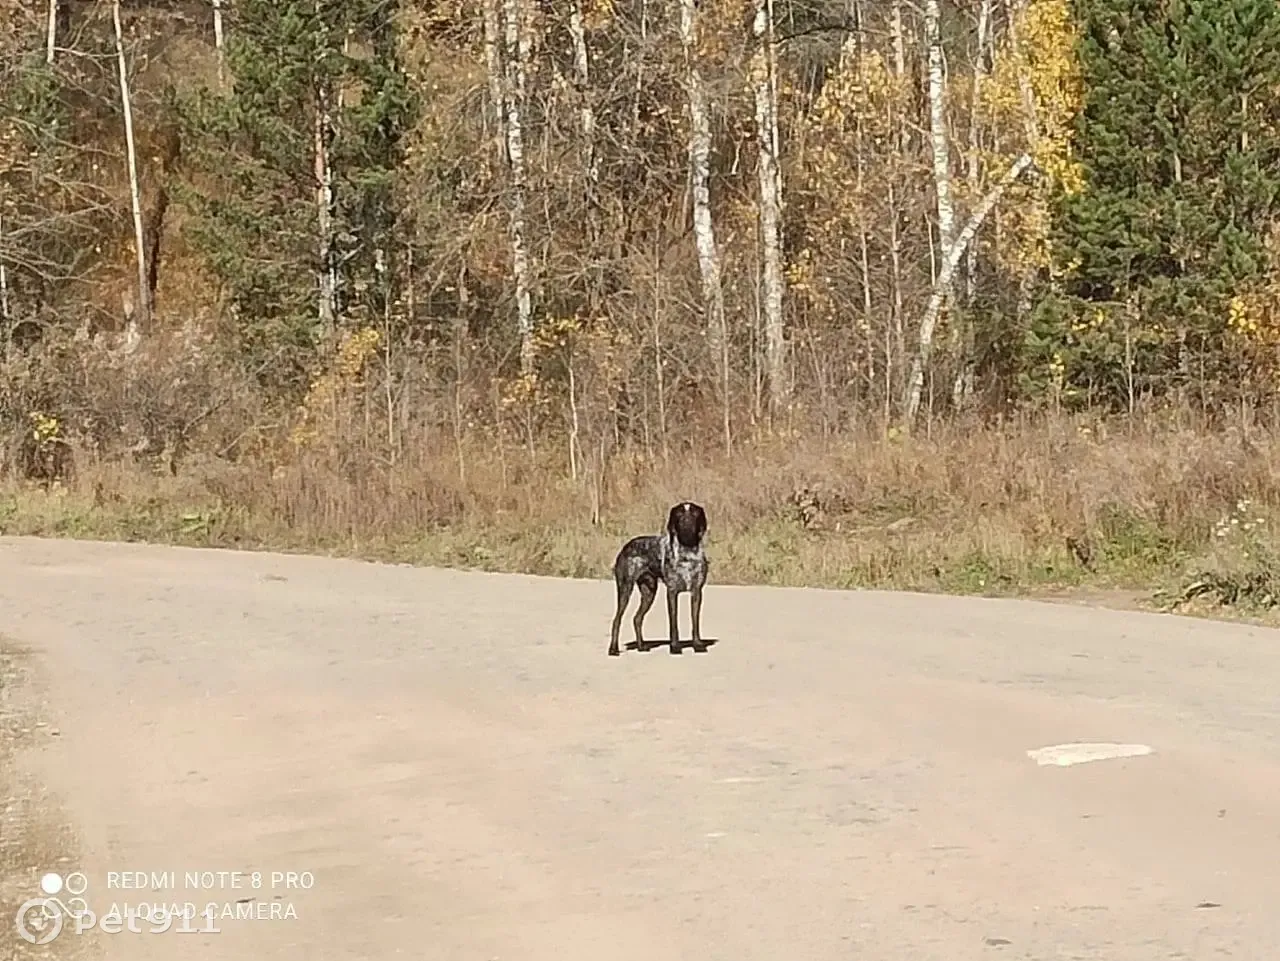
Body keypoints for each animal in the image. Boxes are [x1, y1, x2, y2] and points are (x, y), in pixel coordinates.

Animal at [609, 504, 711, 655]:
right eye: (679, 514)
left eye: (695, 513)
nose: (686, 521)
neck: (687, 552)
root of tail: (626, 546)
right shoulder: (672, 592)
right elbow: (673, 623)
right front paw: (675, 646)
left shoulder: (697, 592)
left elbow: (695, 622)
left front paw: (697, 645)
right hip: (625, 589)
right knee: (617, 620)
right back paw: (613, 649)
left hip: (649, 592)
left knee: (637, 619)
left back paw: (641, 646)